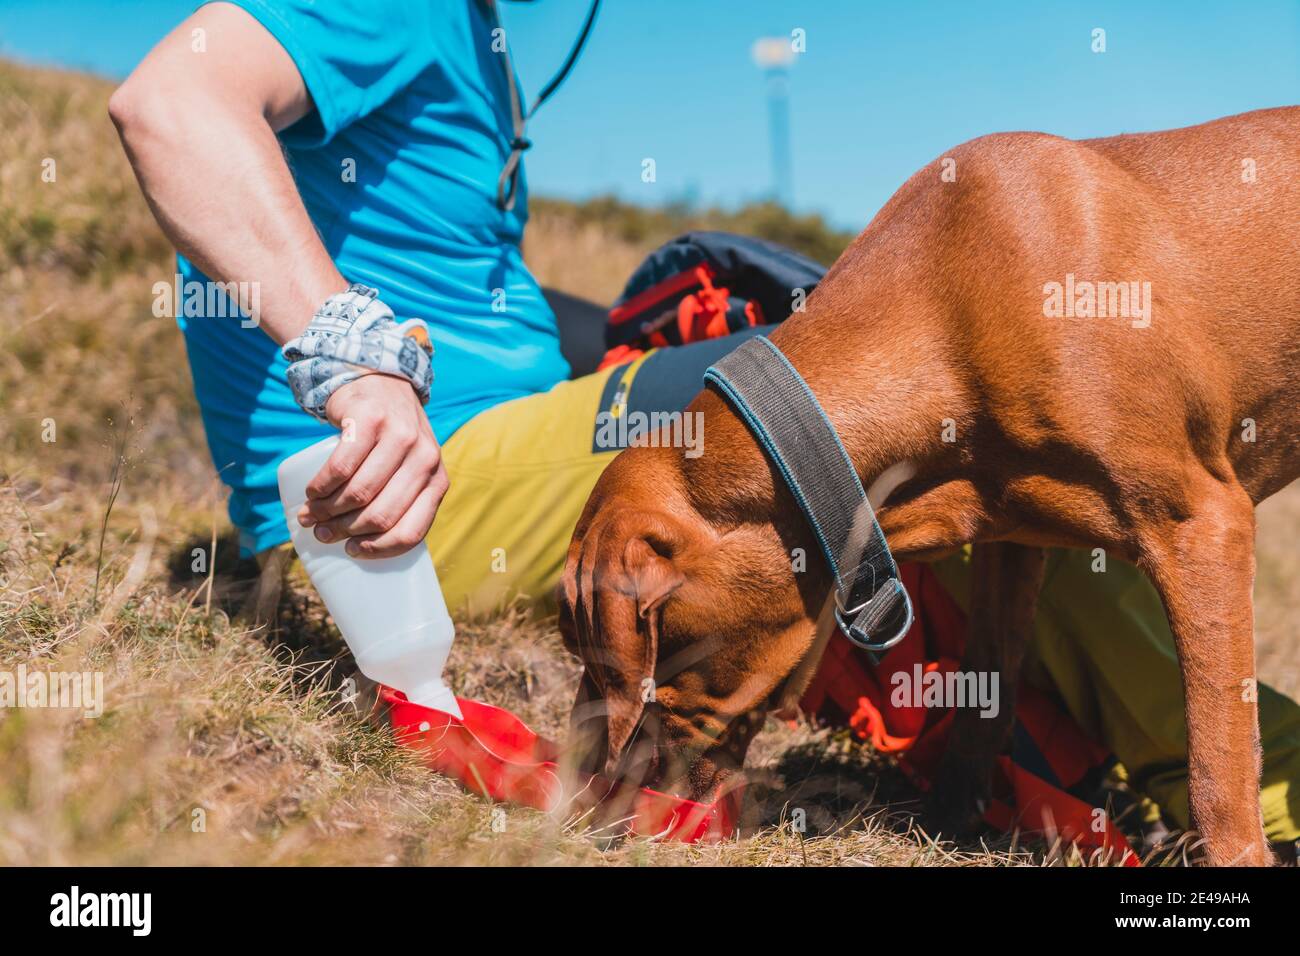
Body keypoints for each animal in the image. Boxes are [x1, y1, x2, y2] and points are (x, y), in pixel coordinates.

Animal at [561, 106, 1300, 868]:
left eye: (633, 650)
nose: (584, 796)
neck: (950, 313)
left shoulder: (1203, 528)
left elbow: (1215, 763)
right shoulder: (1010, 545)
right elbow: (983, 703)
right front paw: (951, 822)